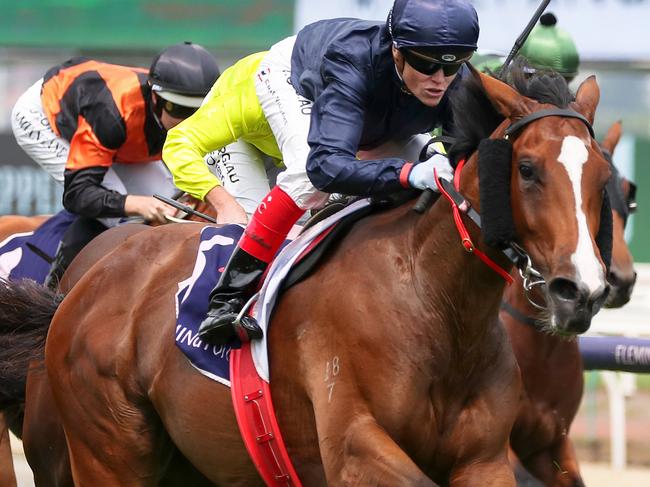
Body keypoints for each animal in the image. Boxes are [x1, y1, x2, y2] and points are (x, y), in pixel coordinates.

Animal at [0, 69, 612, 487]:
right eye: (527, 169)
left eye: (604, 177)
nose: (580, 290)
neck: (433, 301)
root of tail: (78, 292)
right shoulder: (353, 448)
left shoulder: (483, 459)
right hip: (107, 451)